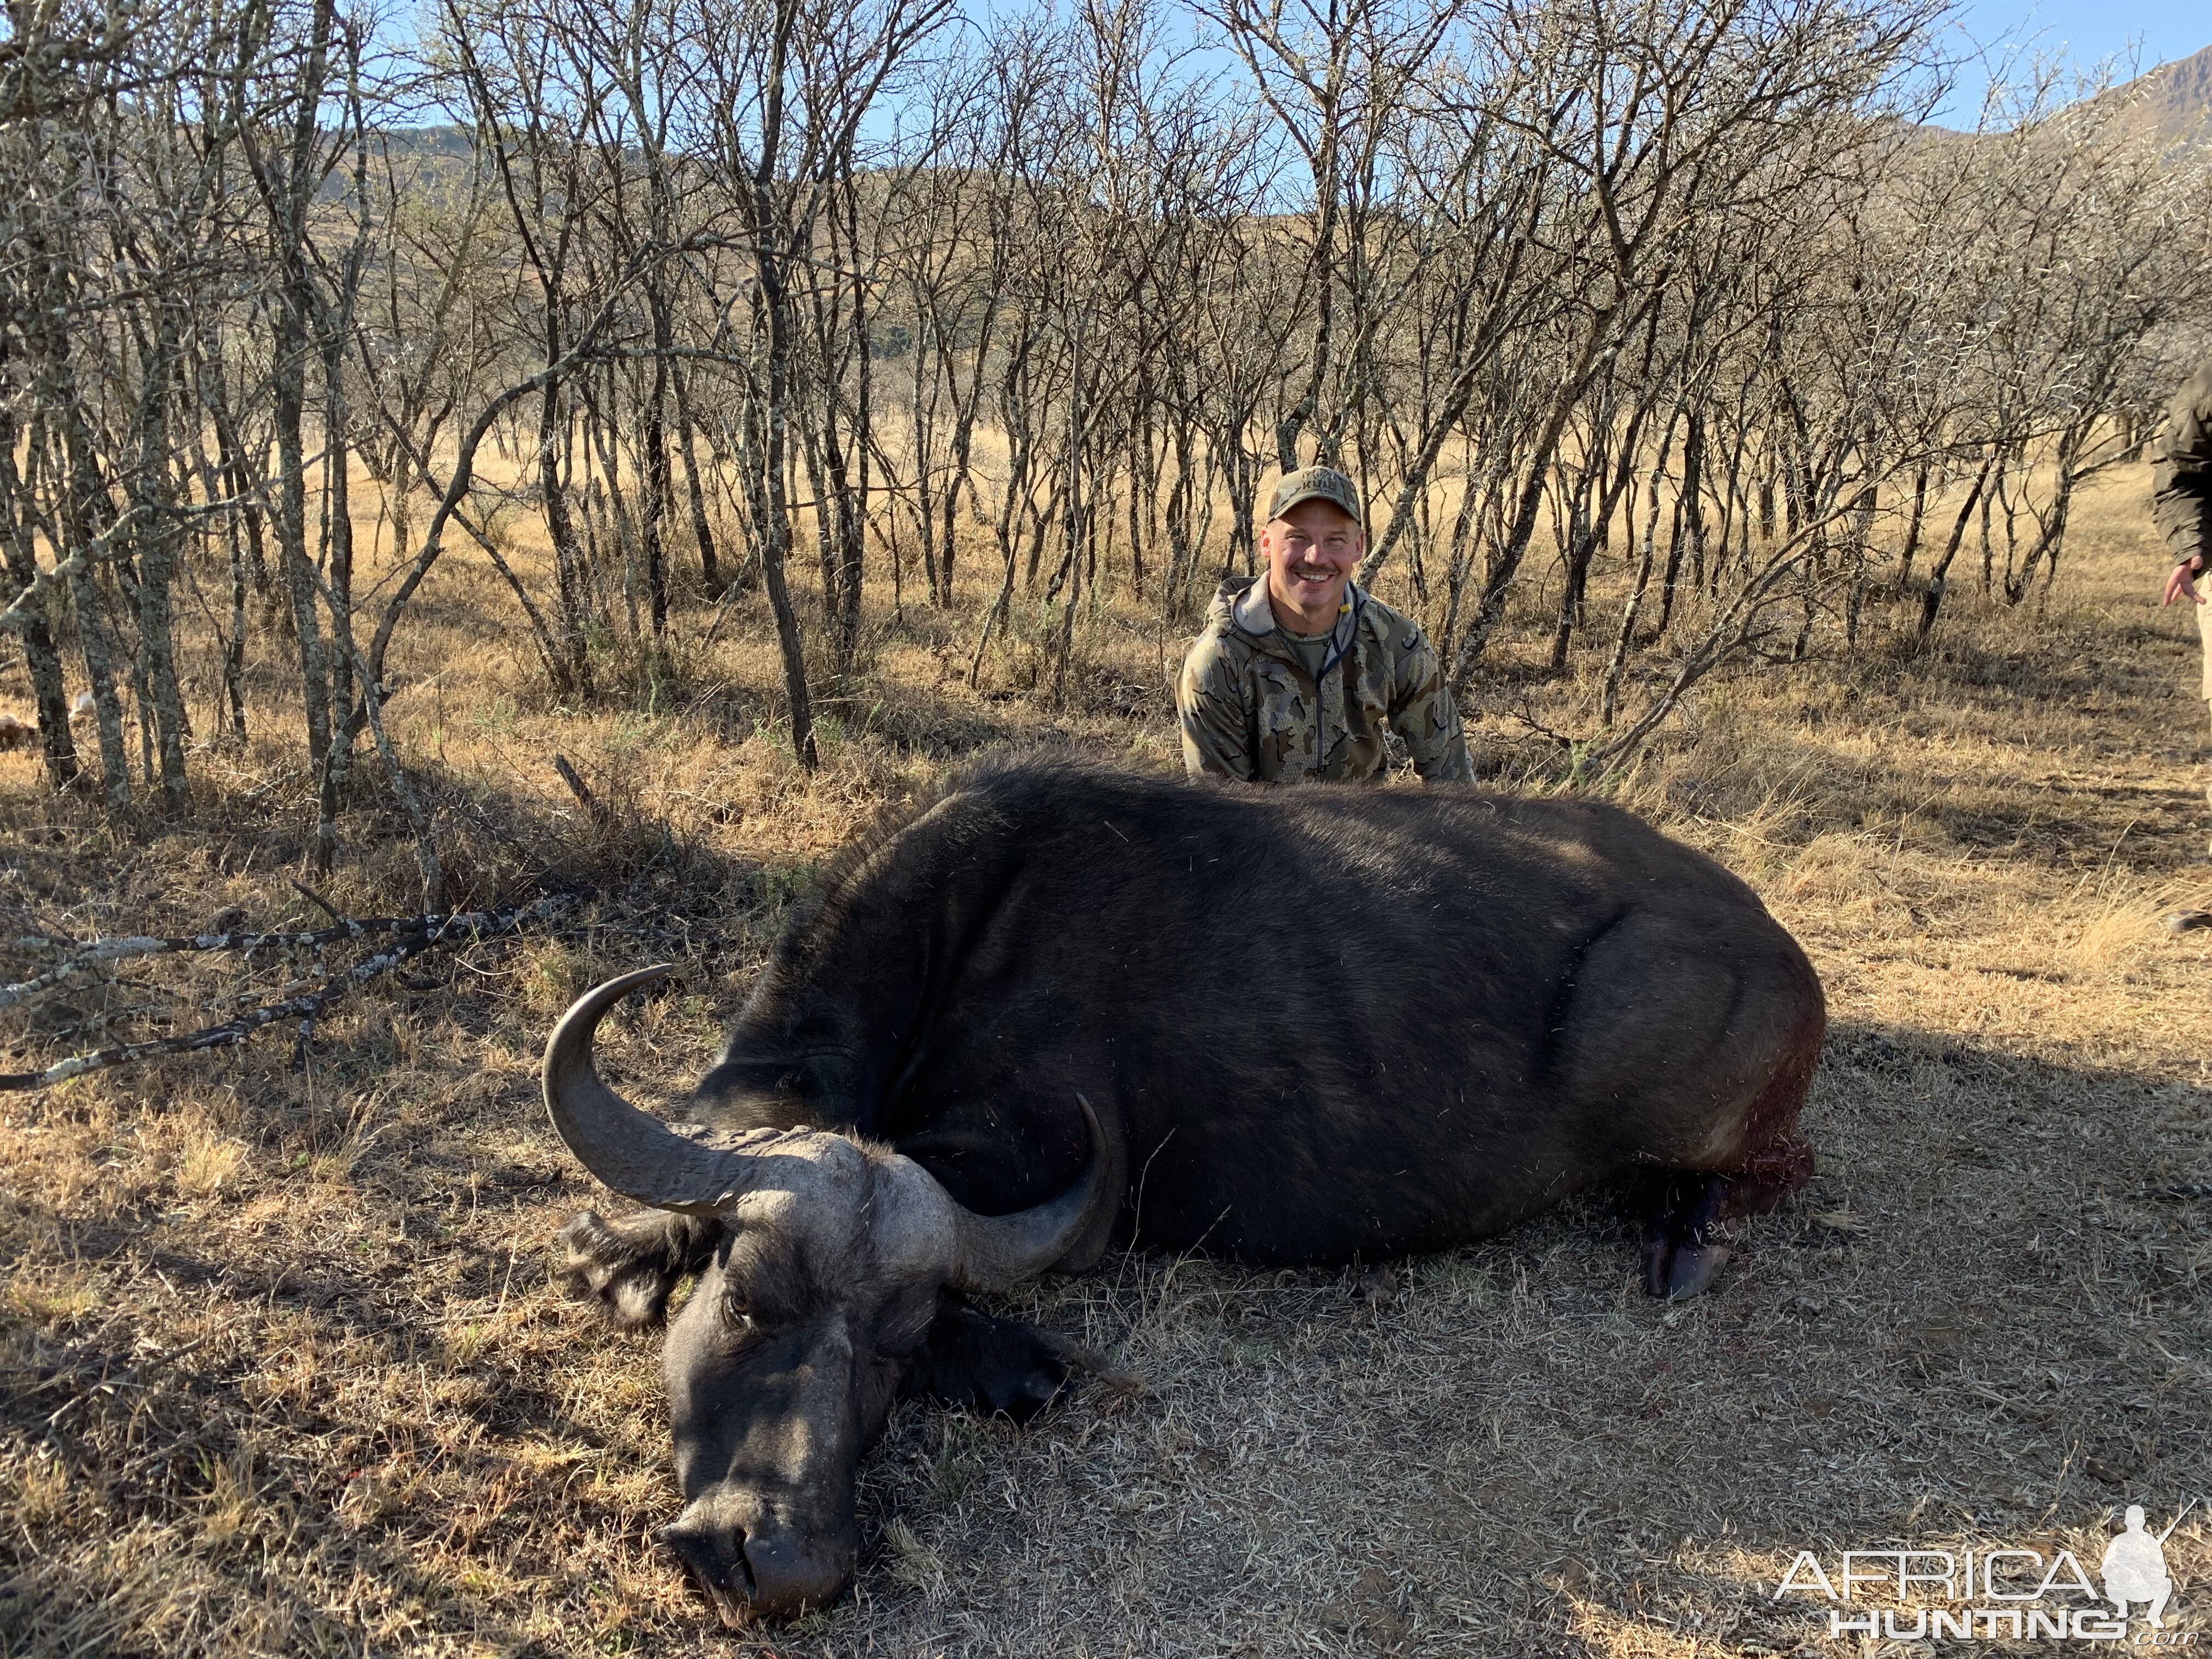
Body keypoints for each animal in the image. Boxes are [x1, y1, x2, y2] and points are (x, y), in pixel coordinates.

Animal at [544, 765, 1822, 1628]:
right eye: (746, 1301)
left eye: (899, 1349)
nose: (782, 1562)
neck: (956, 949)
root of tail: (1775, 943)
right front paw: (625, 1249)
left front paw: (1016, 1368)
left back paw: (1691, 1245)